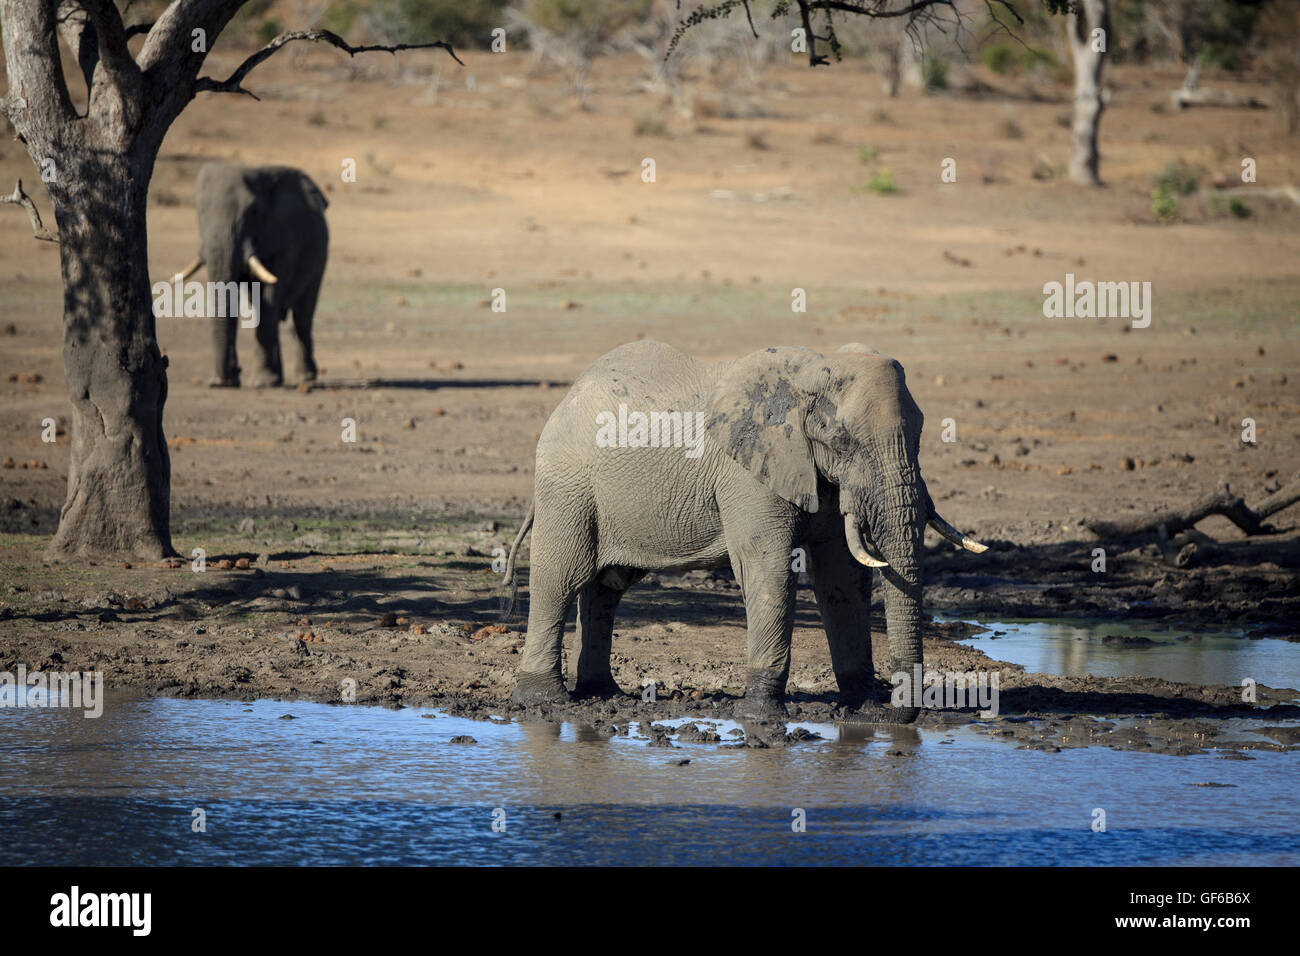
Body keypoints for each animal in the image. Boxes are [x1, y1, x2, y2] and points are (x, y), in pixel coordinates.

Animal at [175, 162, 327, 387]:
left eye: (253, 212)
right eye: (200, 212)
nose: (225, 378)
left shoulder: (284, 239)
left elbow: (269, 297)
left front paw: (263, 383)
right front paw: (232, 382)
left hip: (320, 259)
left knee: (302, 316)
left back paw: (305, 378)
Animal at [504, 340, 982, 723]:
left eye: (920, 433)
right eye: (841, 439)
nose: (890, 713)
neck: (812, 370)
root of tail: (565, 399)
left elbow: (842, 579)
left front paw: (859, 708)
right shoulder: (748, 472)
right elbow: (769, 569)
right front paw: (762, 715)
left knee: (606, 587)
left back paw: (602, 694)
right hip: (568, 484)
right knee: (561, 578)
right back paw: (545, 700)